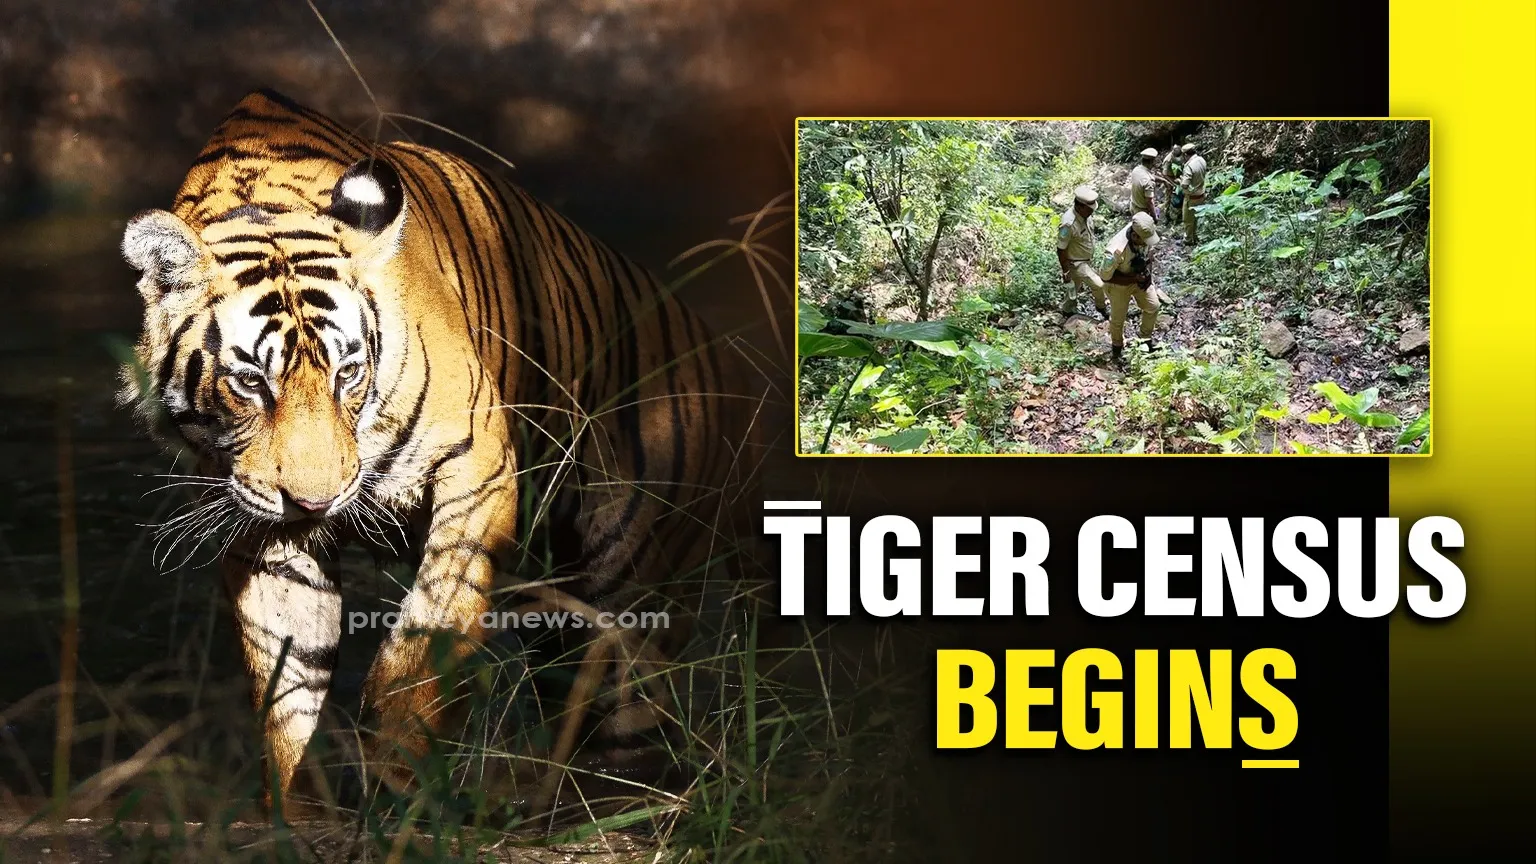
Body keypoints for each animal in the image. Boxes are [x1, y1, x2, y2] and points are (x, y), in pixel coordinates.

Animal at [118, 88, 754, 813]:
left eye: (346, 374)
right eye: (252, 382)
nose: (316, 500)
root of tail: (718, 352)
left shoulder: (478, 469)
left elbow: (431, 625)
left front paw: (400, 770)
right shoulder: (262, 526)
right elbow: (288, 682)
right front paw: (297, 811)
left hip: (631, 585)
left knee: (631, 715)